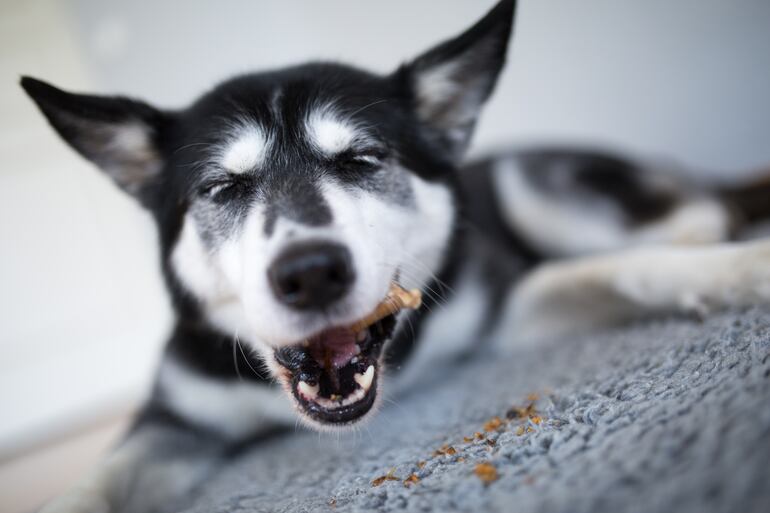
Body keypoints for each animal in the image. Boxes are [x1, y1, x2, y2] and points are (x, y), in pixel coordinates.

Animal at [18, 2, 768, 510]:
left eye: (361, 159)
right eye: (222, 187)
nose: (310, 273)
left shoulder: (499, 307)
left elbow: (624, 270)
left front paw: (739, 269)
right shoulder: (174, 418)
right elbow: (99, 477)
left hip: (531, 184)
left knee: (698, 214)